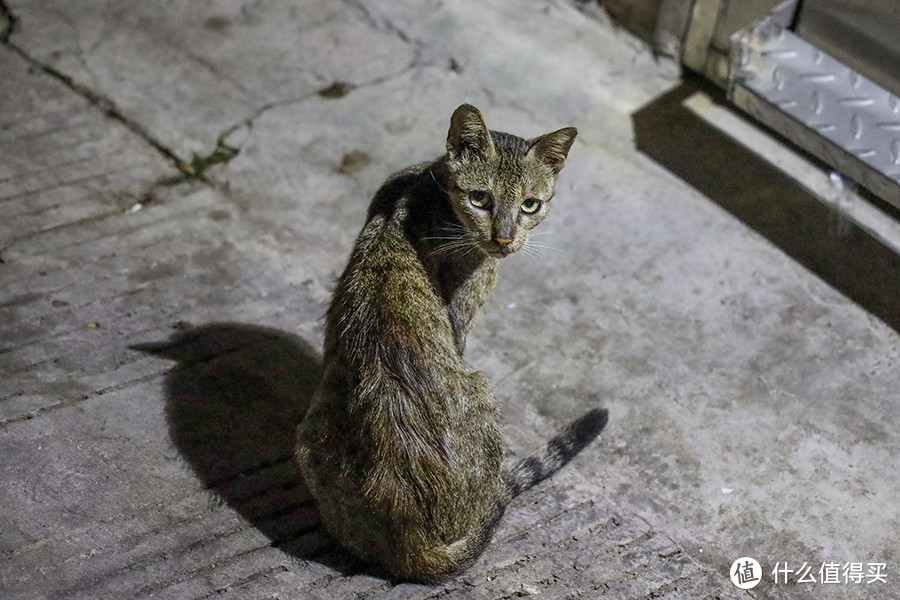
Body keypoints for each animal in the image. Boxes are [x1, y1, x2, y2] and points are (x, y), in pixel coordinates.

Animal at [298, 102, 612, 580]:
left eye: (530, 205)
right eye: (480, 198)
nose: (504, 239)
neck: (424, 191)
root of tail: (416, 548)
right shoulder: (462, 318)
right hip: (481, 393)